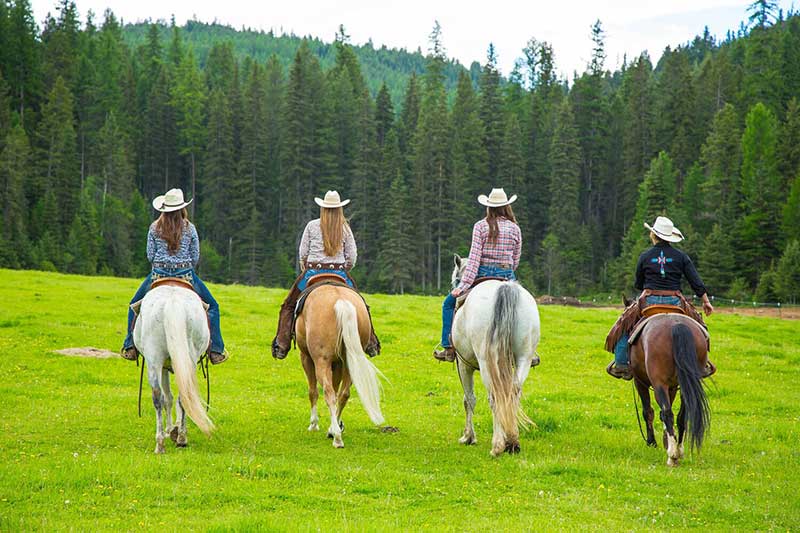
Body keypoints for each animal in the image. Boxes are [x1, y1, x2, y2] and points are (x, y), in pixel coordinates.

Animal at [132, 282, 212, 454]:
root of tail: (173, 302)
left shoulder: (162, 367)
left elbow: (167, 397)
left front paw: (169, 430)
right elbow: (170, 398)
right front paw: (173, 430)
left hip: (155, 359)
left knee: (161, 396)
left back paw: (167, 441)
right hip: (185, 359)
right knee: (181, 395)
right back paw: (175, 440)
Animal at [294, 282, 384, 444]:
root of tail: (341, 301)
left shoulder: (306, 358)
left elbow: (313, 392)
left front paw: (314, 424)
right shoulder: (338, 364)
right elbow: (337, 391)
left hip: (320, 362)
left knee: (328, 393)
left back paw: (336, 437)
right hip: (350, 363)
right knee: (343, 394)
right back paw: (334, 429)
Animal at [450, 256, 544, 456]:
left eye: (456, 279)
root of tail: (505, 288)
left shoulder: (463, 364)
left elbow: (468, 399)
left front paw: (468, 437)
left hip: (487, 362)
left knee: (495, 397)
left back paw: (498, 445)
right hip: (524, 359)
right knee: (513, 392)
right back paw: (513, 441)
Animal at [628, 300, 708, 466]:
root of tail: (676, 325)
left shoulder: (640, 382)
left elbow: (648, 412)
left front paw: (652, 442)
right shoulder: (672, 387)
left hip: (659, 383)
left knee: (667, 413)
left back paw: (672, 456)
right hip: (687, 384)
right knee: (682, 415)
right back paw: (679, 450)